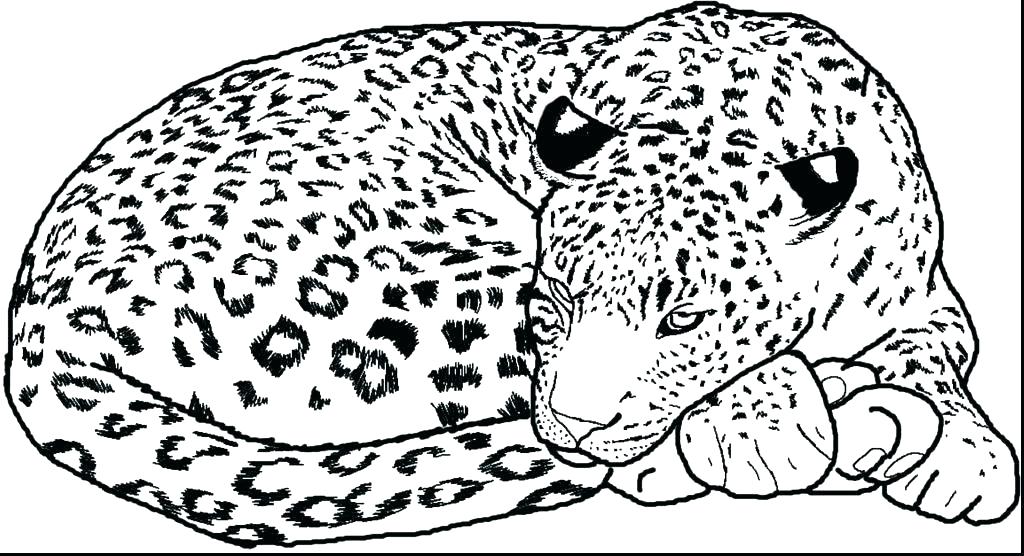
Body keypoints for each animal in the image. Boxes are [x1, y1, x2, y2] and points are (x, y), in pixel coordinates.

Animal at [5, 1, 1019, 547]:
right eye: (557, 303)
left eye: (684, 319)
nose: (576, 422)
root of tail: (42, 304)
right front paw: (769, 426)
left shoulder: (928, 294)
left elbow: (939, 350)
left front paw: (967, 459)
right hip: (420, 277)